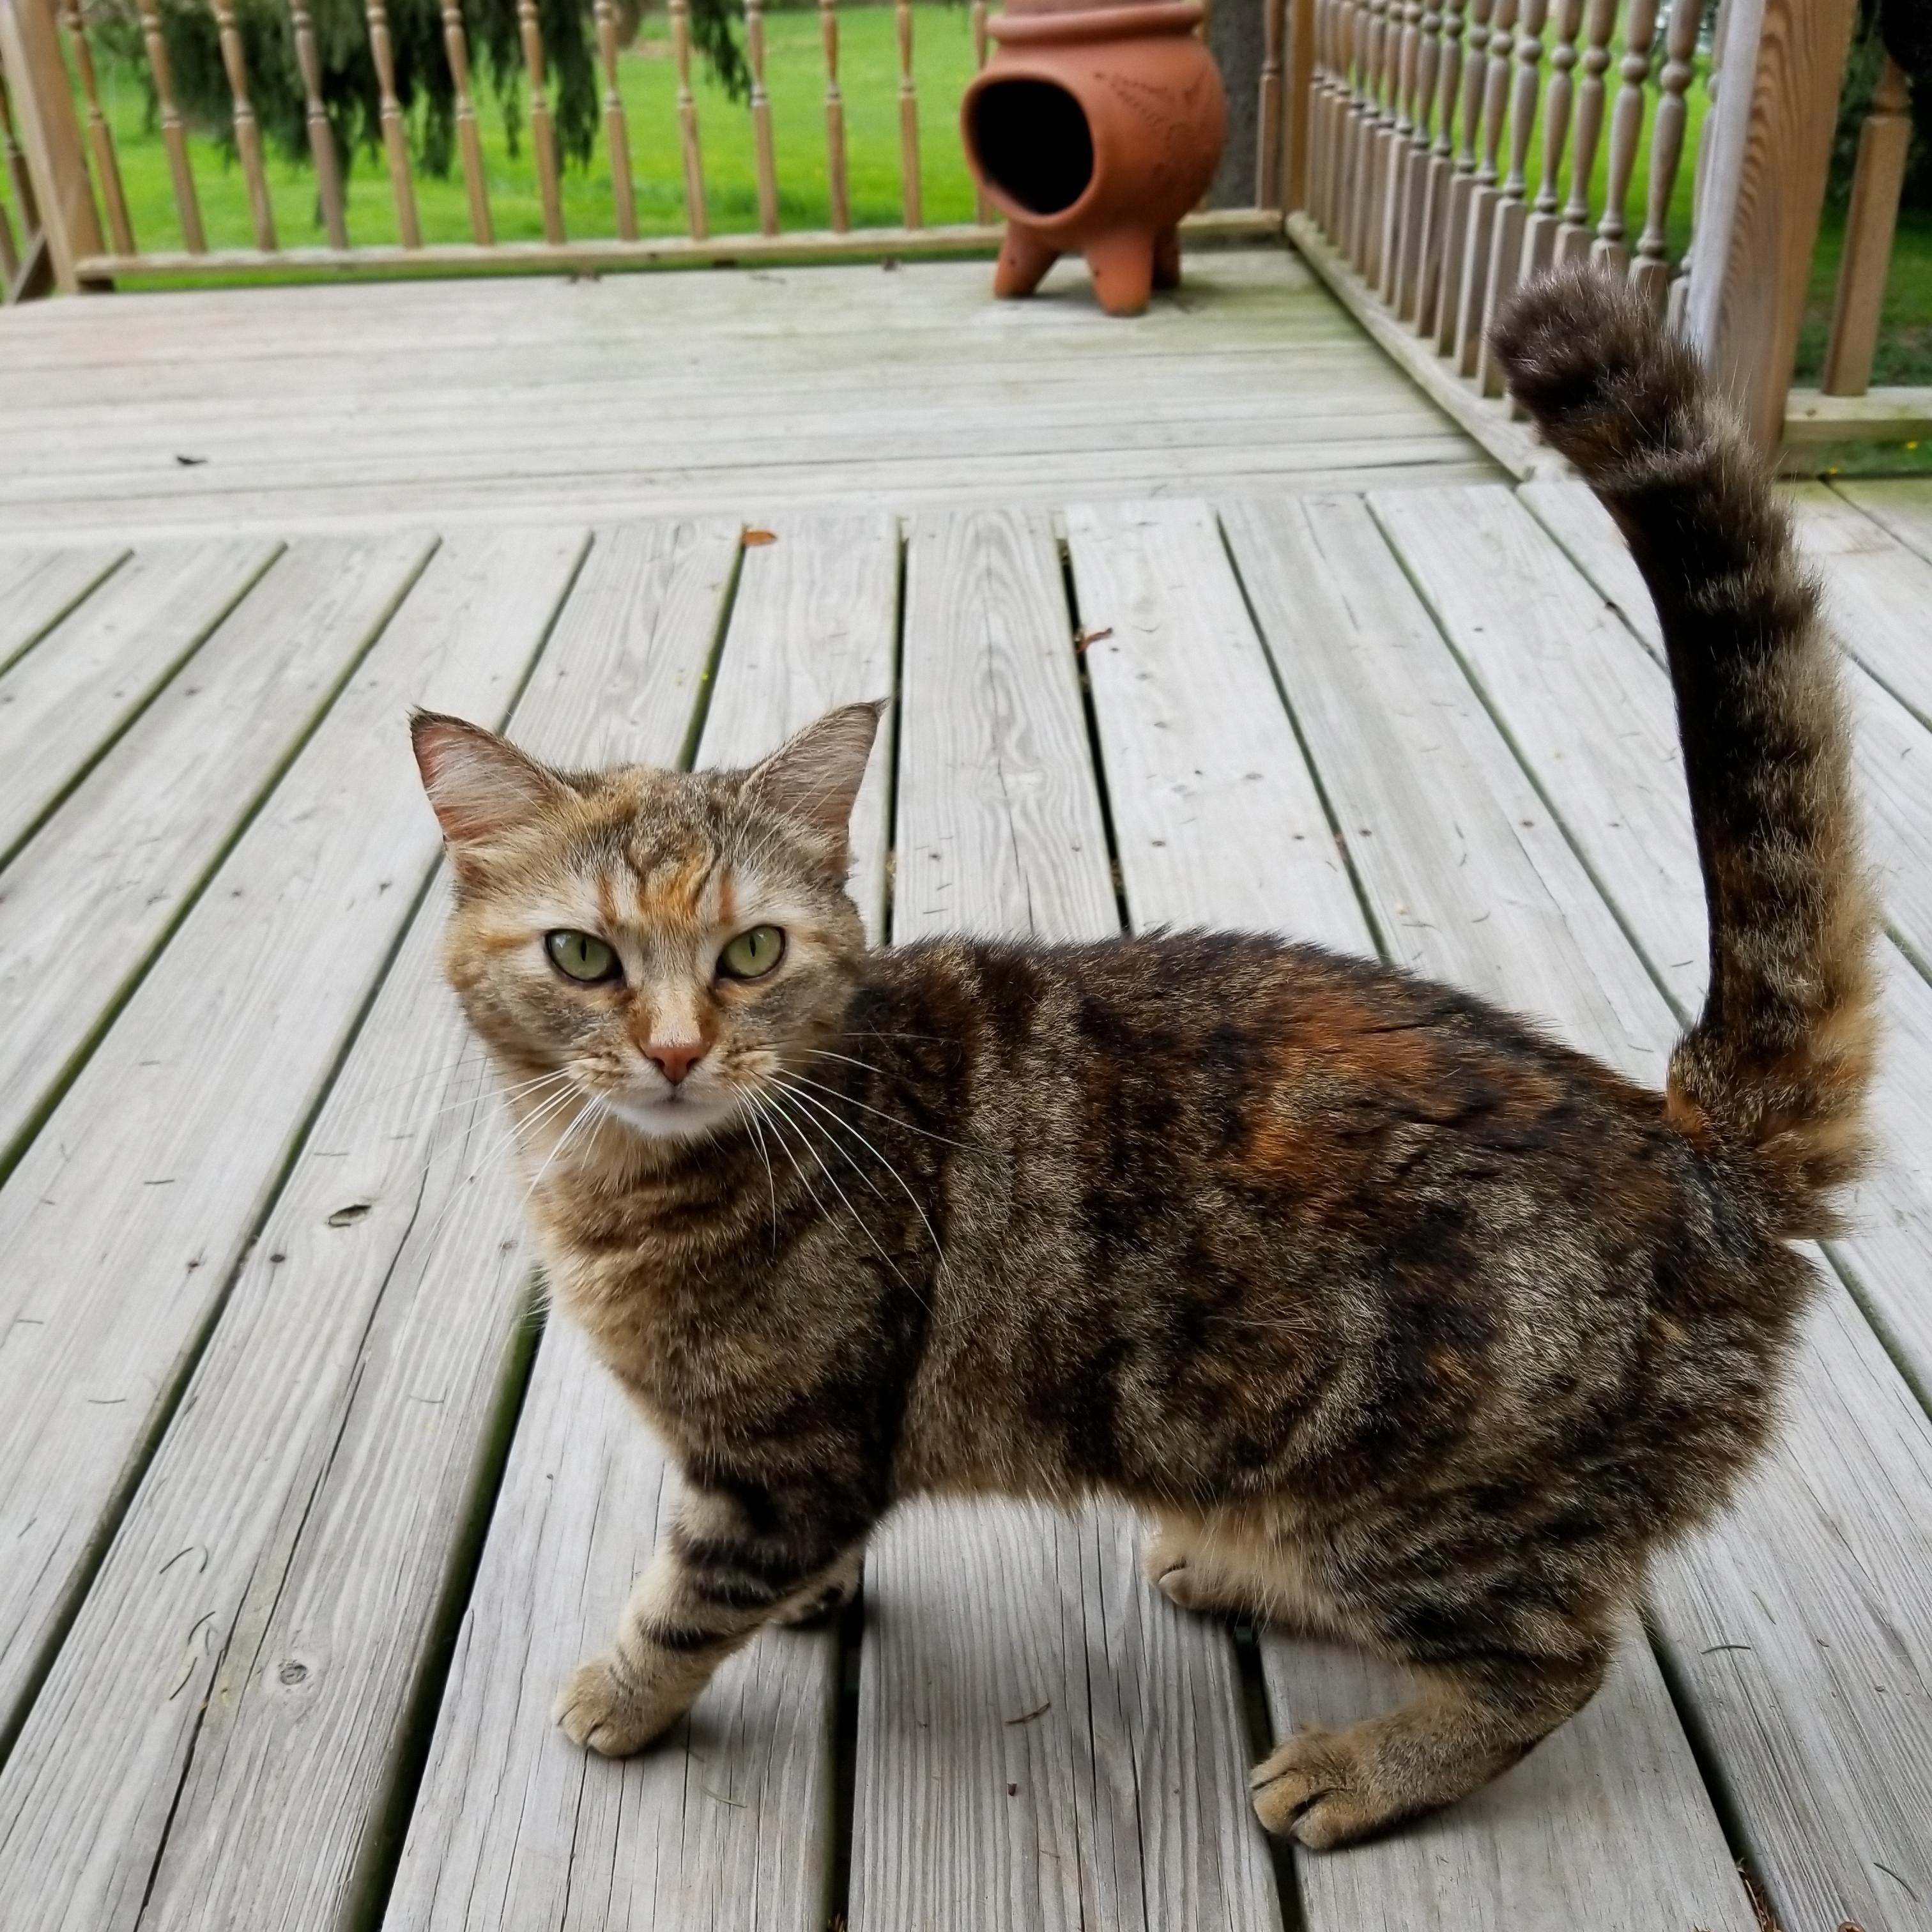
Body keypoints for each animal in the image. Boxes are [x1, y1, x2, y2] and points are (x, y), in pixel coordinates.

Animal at [408, 272, 1870, 1855]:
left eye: (750, 953)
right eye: (582, 957)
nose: (676, 1049)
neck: (623, 1182)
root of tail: (1697, 1149)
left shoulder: (783, 1462)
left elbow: (684, 1603)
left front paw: (619, 1693)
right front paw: (799, 1609)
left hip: (1412, 1512)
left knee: (1550, 1662)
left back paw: (1366, 1765)